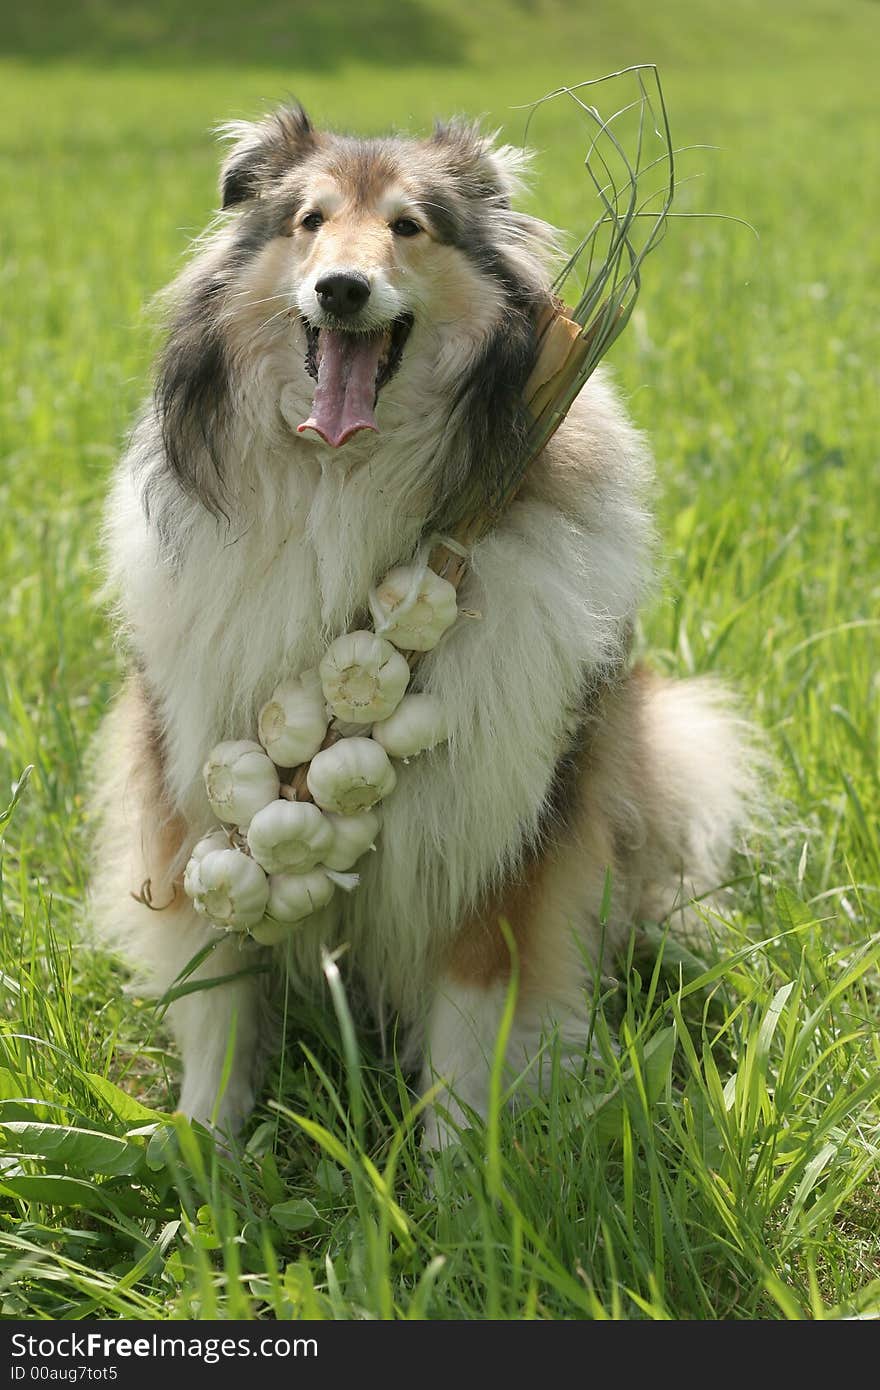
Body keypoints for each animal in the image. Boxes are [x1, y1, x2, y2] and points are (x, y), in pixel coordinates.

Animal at [88, 108, 750, 1145]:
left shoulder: (500, 824)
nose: (342, 289)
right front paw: (205, 1146)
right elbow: (218, 990)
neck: (344, 482)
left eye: (409, 227)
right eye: (311, 221)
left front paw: (457, 1169)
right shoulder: (184, 785)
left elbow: (471, 1019)